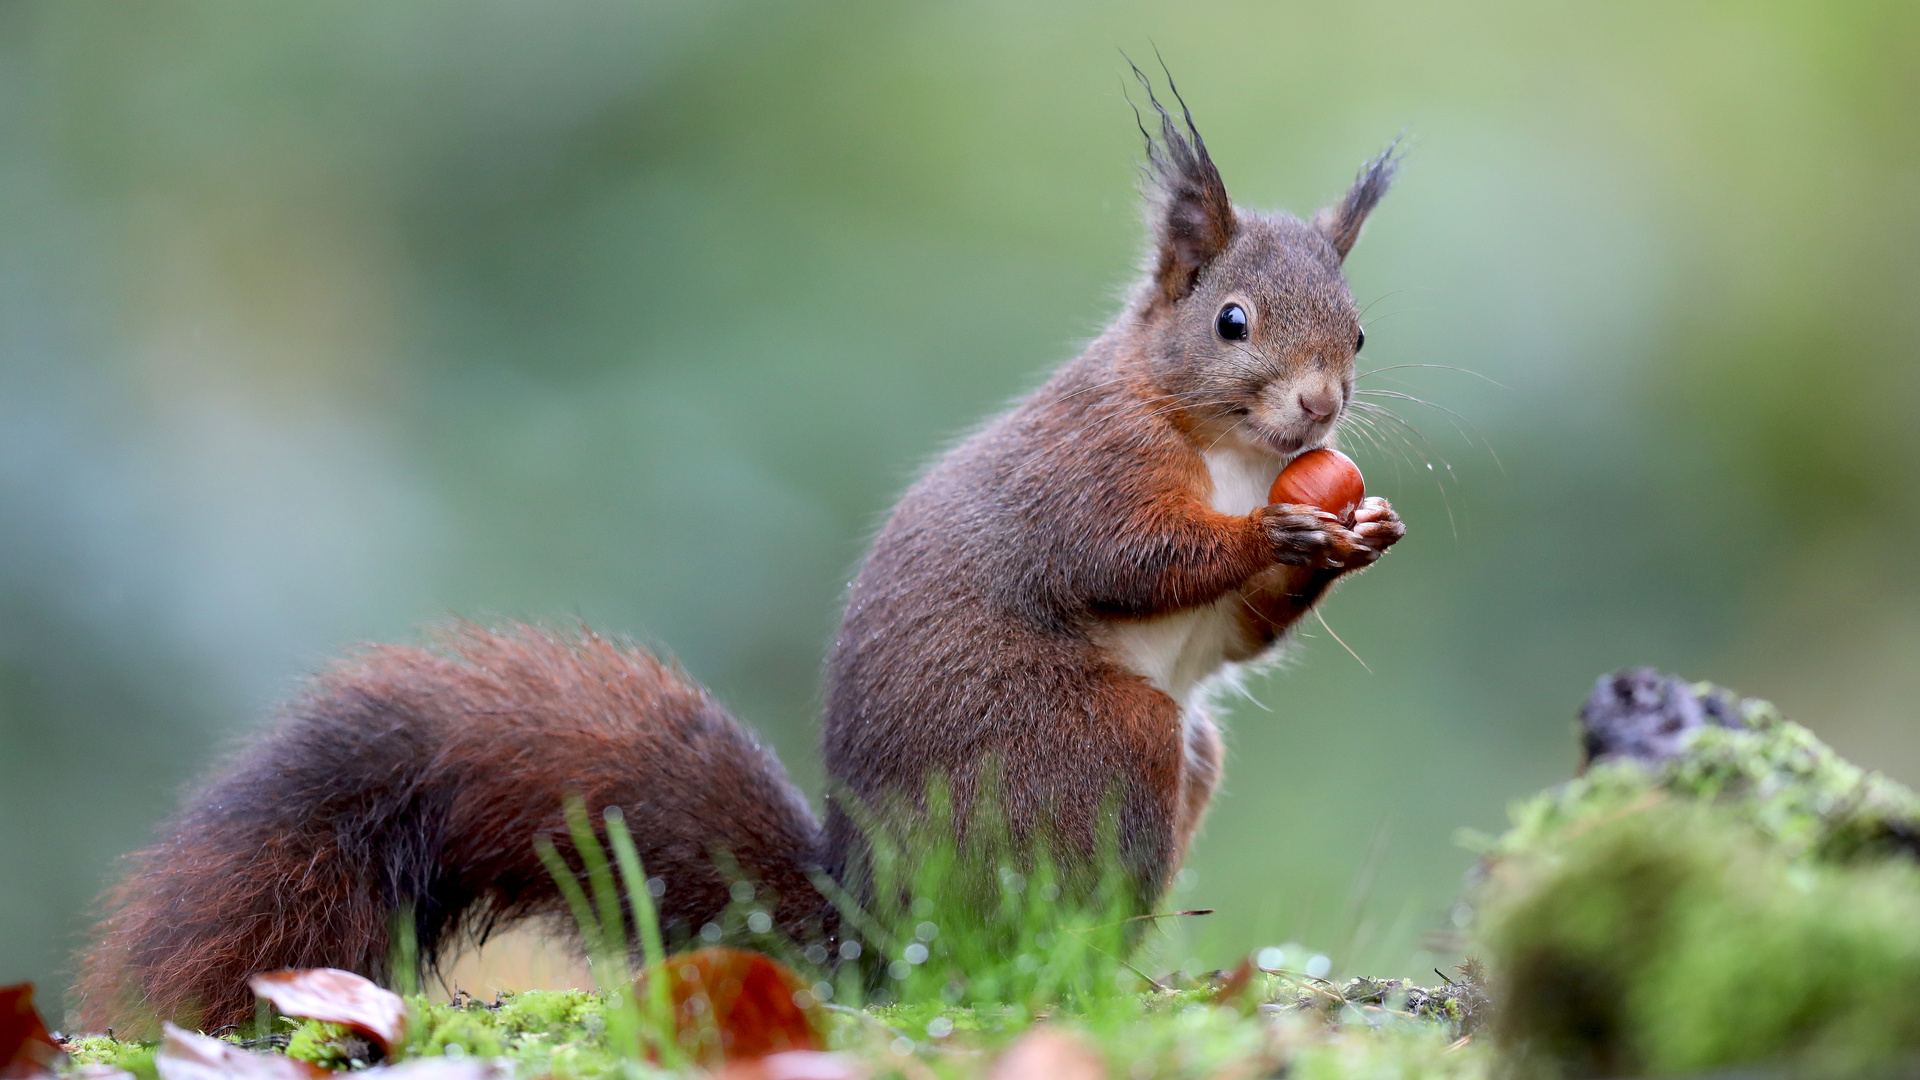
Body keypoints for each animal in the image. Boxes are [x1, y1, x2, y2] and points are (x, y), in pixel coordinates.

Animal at [74, 79, 1405, 1030]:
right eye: (1230, 322)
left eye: (1357, 332)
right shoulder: (1089, 473)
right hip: (1095, 746)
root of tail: (878, 932)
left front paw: (1354, 539)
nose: (1319, 414)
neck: (1216, 443)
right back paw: (1064, 975)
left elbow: (1235, 631)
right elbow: (1131, 558)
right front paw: (1275, 530)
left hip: (1174, 756)